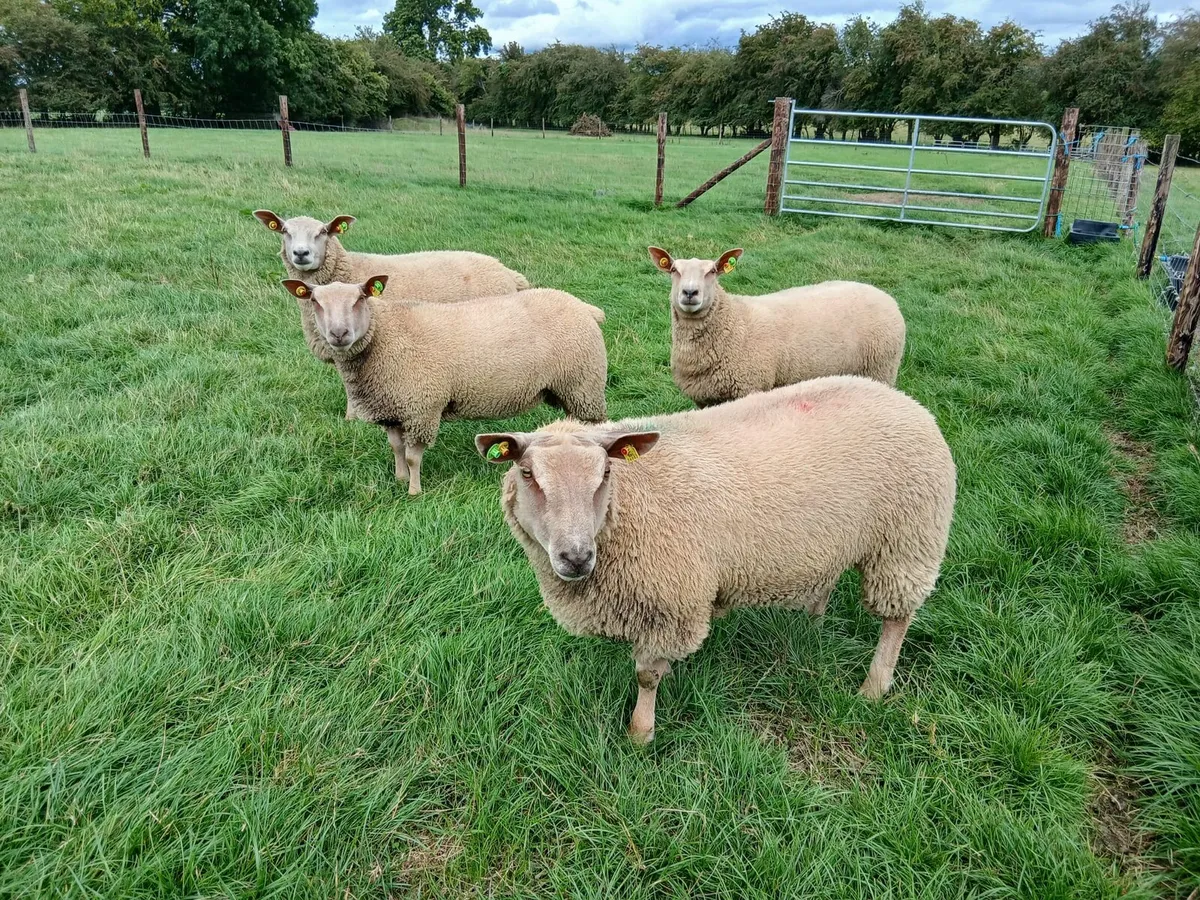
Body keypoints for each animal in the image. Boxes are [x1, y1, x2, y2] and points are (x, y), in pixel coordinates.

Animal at [254, 210, 531, 418]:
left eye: (322, 232)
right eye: (285, 231)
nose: (301, 253)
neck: (348, 269)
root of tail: (508, 273)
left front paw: (354, 419)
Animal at [282, 275, 608, 495]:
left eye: (360, 298)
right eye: (315, 302)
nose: (339, 334)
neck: (384, 336)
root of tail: (585, 307)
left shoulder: (421, 408)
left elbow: (413, 456)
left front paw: (414, 492)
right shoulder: (392, 408)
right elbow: (396, 448)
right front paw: (399, 479)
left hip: (584, 384)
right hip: (572, 389)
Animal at [476, 375, 956, 743]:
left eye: (606, 473)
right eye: (527, 473)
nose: (576, 557)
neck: (629, 505)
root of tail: (906, 400)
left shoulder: (670, 604)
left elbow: (646, 677)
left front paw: (640, 733)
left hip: (906, 542)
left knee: (897, 618)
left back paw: (873, 687)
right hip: (836, 539)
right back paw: (812, 625)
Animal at [647, 247, 906, 406]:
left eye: (712, 271)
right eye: (674, 270)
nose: (690, 292)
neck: (733, 322)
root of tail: (884, 295)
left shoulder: (749, 387)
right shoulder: (705, 399)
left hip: (881, 368)